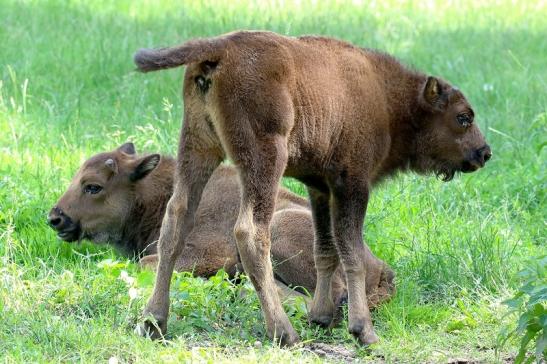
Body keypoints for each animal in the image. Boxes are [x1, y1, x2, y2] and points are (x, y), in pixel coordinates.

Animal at [48, 144, 394, 312]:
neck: (156, 194)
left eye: (93, 186)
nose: (55, 218)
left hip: (281, 231)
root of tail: (382, 269)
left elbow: (147, 264)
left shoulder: (200, 253)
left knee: (330, 297)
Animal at [135, 30, 494, 344]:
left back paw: (154, 323)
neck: (387, 99)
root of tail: (222, 46)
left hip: (198, 146)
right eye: (463, 117)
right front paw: (362, 331)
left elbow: (326, 249)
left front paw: (321, 317)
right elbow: (351, 252)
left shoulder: (320, 188)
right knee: (251, 232)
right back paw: (284, 333)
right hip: (264, 160)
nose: (484, 152)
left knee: (176, 220)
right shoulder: (352, 185)